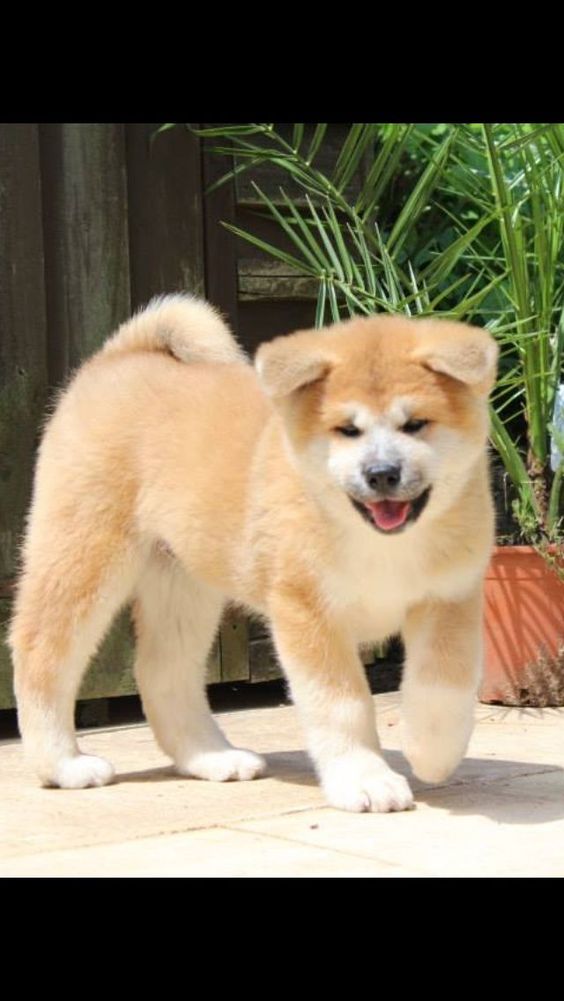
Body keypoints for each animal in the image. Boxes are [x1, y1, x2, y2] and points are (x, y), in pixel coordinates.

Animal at [9, 292, 498, 808]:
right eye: (347, 430)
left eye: (416, 424)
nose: (381, 473)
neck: (379, 542)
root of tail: (121, 355)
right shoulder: (308, 610)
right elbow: (341, 704)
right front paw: (366, 778)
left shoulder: (449, 598)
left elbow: (443, 686)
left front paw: (431, 751)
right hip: (85, 555)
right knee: (42, 654)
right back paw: (62, 764)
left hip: (182, 587)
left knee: (163, 672)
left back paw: (211, 757)